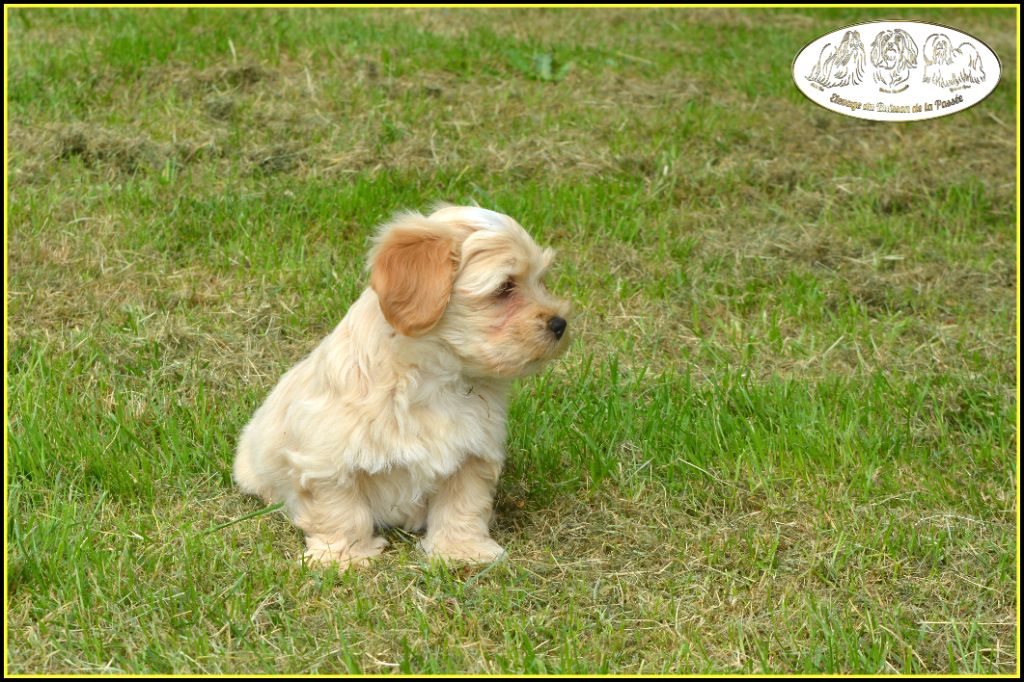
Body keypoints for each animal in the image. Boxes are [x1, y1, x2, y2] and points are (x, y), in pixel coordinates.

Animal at [233, 204, 573, 565]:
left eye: (541, 280)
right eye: (504, 287)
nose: (560, 323)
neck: (438, 378)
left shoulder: (472, 454)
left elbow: (463, 504)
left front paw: (462, 550)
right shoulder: (325, 458)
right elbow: (340, 509)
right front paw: (342, 557)